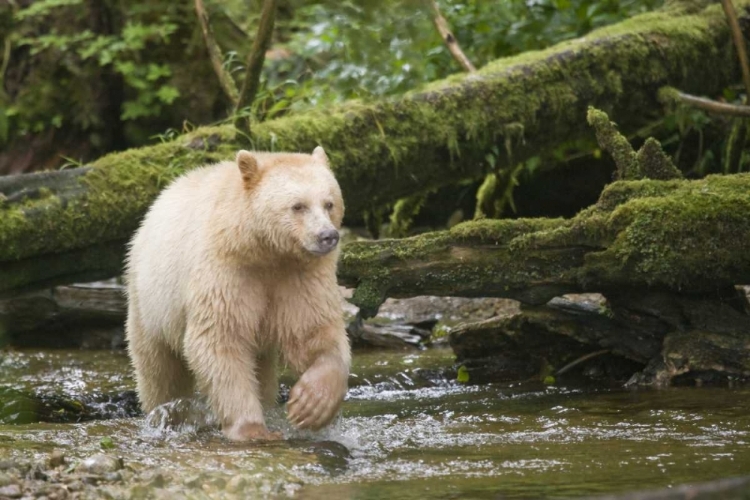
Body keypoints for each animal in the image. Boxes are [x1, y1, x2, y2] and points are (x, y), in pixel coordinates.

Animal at [126, 146, 352, 440]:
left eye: (329, 203)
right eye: (298, 206)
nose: (328, 236)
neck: (263, 250)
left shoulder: (300, 276)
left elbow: (313, 331)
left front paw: (311, 404)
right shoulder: (226, 270)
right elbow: (220, 338)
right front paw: (252, 429)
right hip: (150, 299)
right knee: (159, 369)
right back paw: (165, 413)